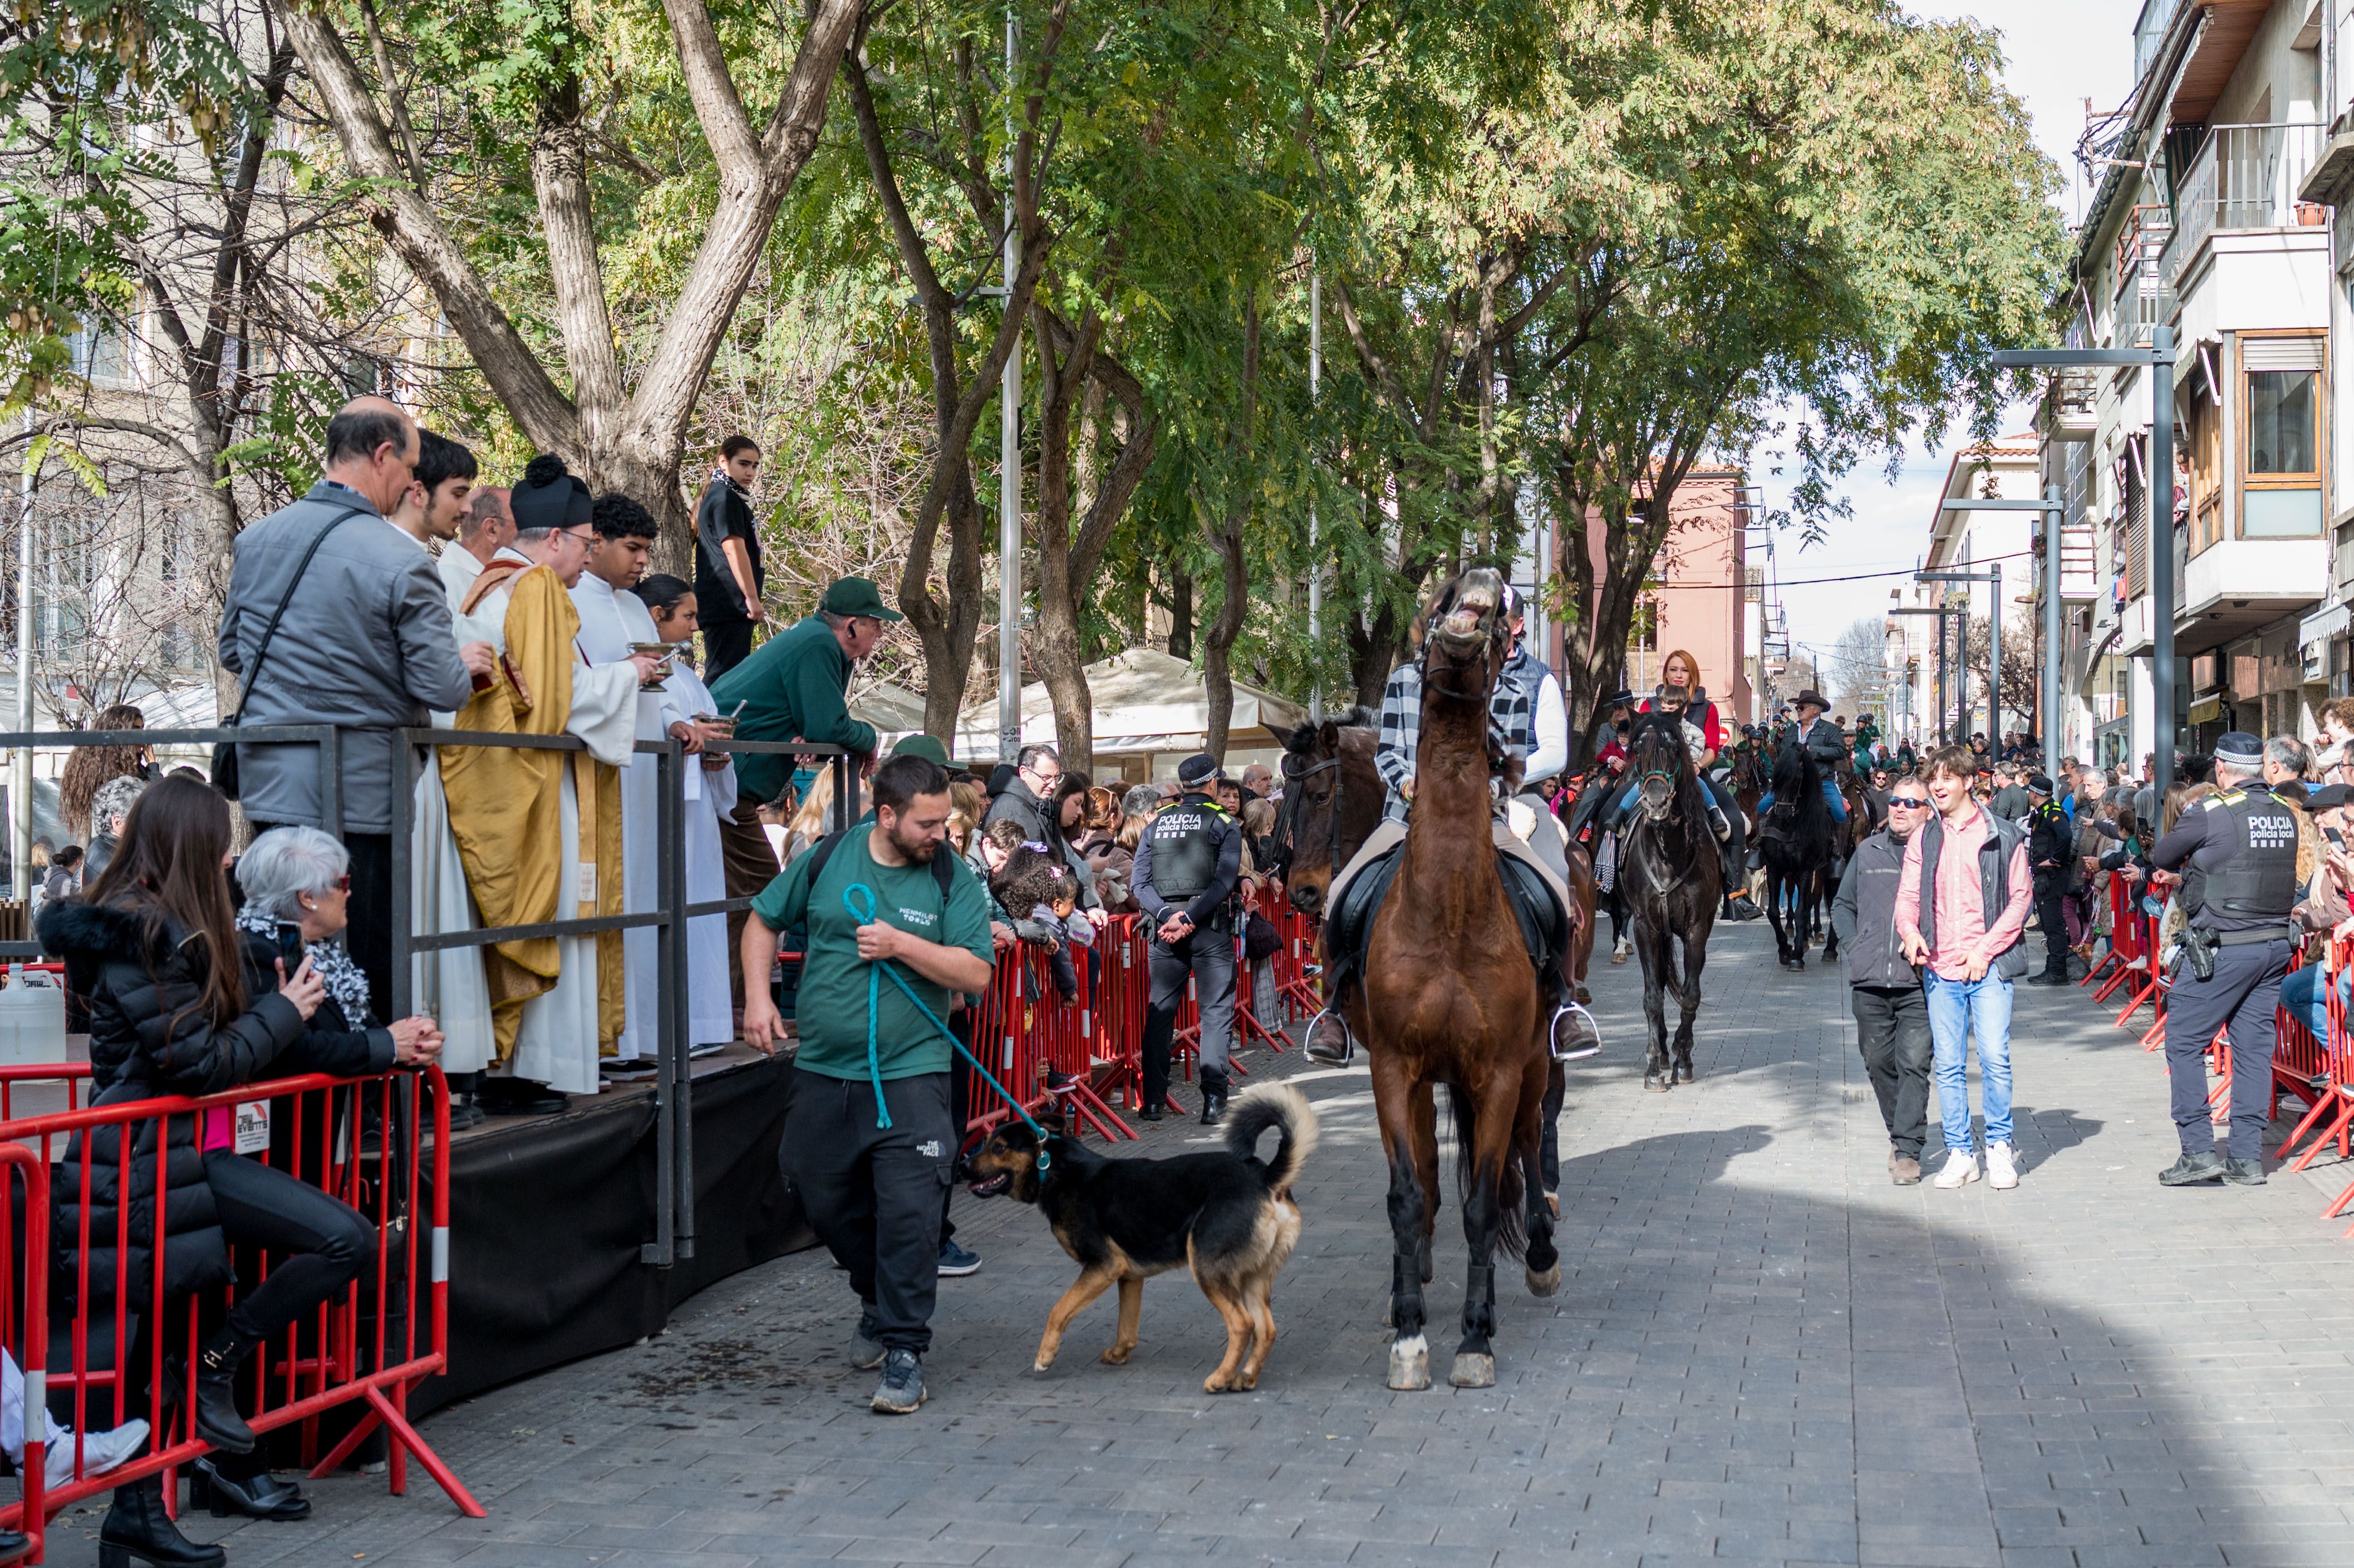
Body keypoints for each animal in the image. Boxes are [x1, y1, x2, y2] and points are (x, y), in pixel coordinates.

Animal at [965, 1073, 1318, 1394]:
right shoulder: (1129, 1276)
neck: (1051, 1166)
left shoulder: (1103, 1266)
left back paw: (1220, 1378)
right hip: (1252, 1276)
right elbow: (1127, 1324)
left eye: (999, 1148)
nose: (963, 1167)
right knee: (1266, 1329)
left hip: (1208, 1268)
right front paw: (1120, 1354)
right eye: (986, 1144)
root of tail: (1265, 1177)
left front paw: (1045, 1356)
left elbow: (1058, 1311)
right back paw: (1245, 1377)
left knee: (1243, 1324)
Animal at [1346, 567, 1563, 1384]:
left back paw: (1538, 1256)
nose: (1482, 582)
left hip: (1533, 1064)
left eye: (1498, 615)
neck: (1445, 913)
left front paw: (1474, 1339)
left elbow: (1482, 1200)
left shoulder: (1497, 1069)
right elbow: (1409, 1196)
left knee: (1529, 1145)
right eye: (1444, 591)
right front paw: (1410, 1334)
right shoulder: (1392, 1065)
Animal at [1610, 706, 1723, 1088]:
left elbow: (1691, 994)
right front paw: (1653, 1068)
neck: (1668, 852)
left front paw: (1683, 1060)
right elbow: (1653, 996)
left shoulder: (1697, 929)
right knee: (1657, 980)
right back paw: (1659, 1048)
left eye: (1675, 749)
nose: (1656, 801)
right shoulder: (1646, 926)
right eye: (1637, 750)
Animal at [1761, 734, 1826, 965]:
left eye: (1797, 778)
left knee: (1813, 899)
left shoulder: (1806, 869)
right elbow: (1773, 912)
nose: (1781, 812)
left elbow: (1802, 911)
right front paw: (1785, 949)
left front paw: (1797, 955)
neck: (1788, 826)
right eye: (1776, 776)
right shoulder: (1774, 868)